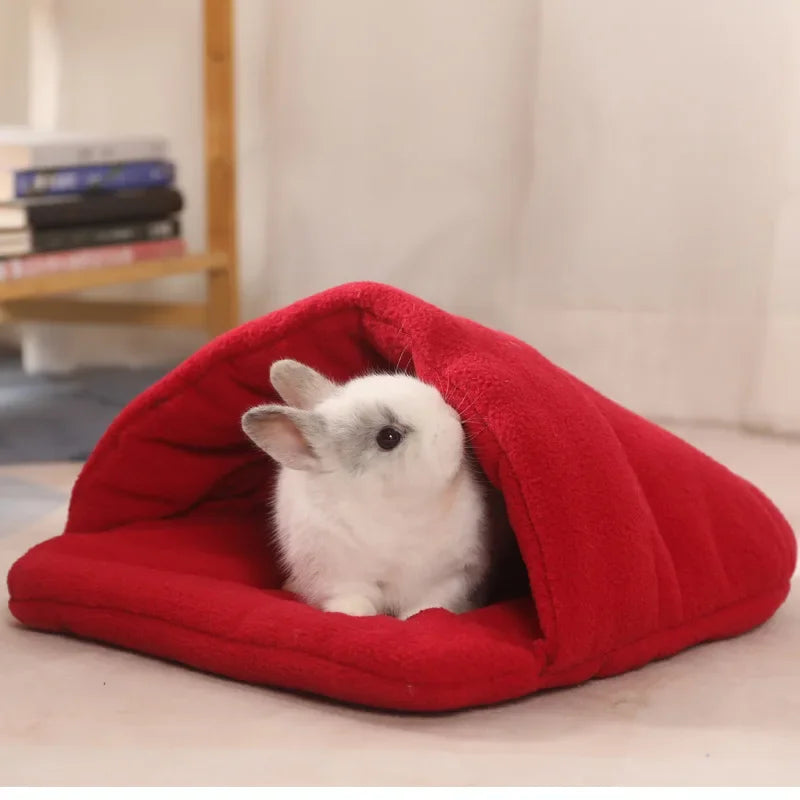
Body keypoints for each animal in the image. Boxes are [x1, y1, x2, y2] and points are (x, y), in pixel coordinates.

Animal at [241, 359, 493, 620]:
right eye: (388, 437)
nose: (454, 418)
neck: (396, 509)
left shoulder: (453, 575)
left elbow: (429, 604)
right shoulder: (337, 578)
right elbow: (353, 600)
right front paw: (354, 614)